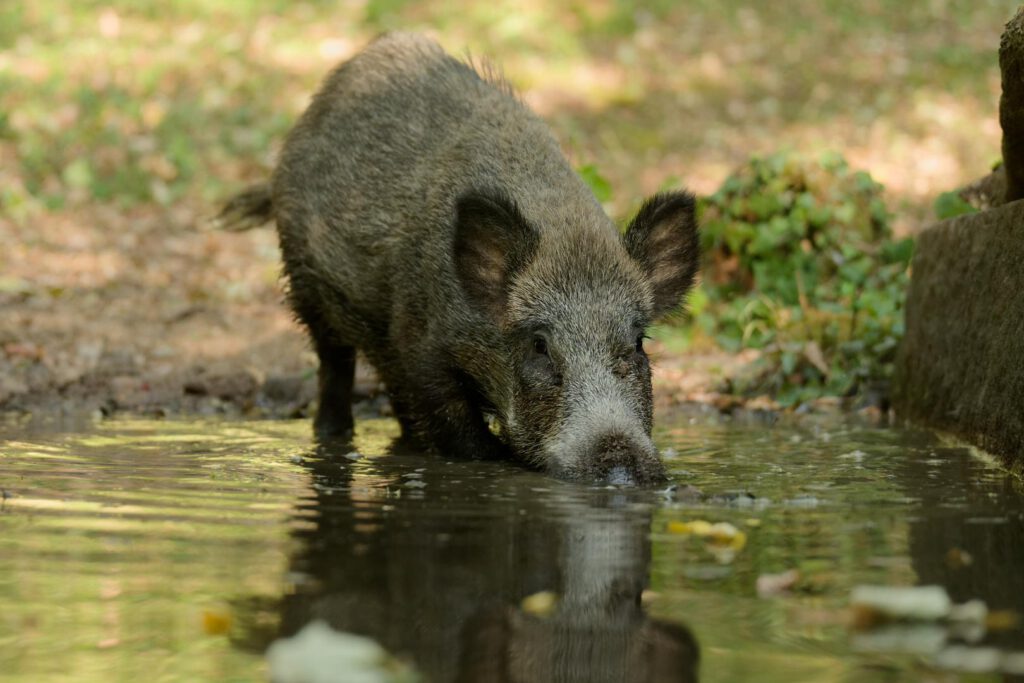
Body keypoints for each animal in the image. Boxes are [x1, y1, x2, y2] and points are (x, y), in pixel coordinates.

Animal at [218, 33, 699, 483]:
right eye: (539, 344)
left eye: (637, 343)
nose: (619, 464)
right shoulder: (419, 347)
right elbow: (459, 434)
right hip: (305, 283)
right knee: (334, 370)